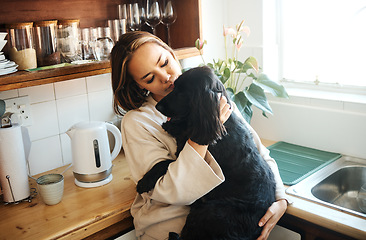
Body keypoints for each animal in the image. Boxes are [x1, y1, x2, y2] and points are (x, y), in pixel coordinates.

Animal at [137, 66, 274, 240]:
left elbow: (165, 163)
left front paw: (144, 181)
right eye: (174, 86)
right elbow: (164, 162)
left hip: (209, 213)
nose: (158, 107)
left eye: (183, 92)